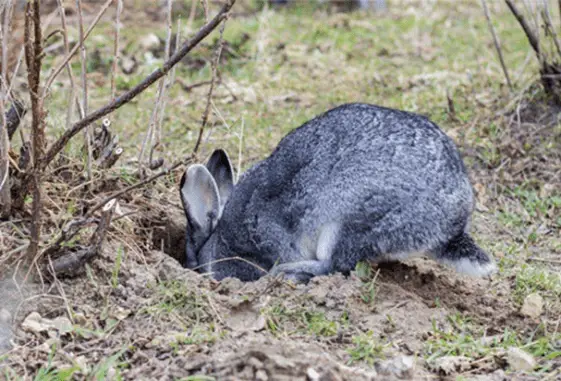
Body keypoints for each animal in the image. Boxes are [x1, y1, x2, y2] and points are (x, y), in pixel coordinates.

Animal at [178, 102, 494, 280]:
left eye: (192, 261)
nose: (192, 269)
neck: (219, 239)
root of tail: (451, 225)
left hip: (348, 219)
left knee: (335, 264)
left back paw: (287, 274)